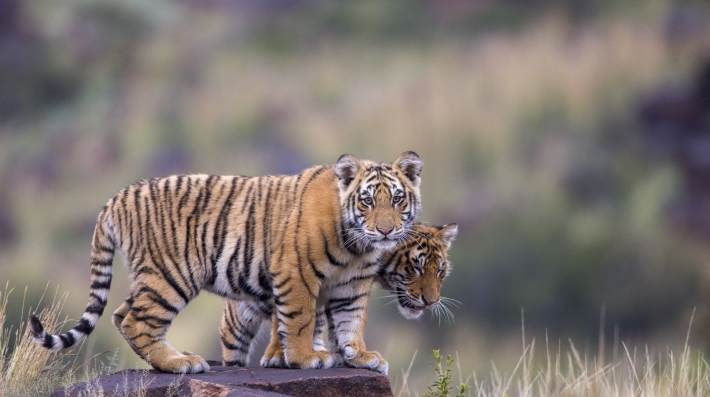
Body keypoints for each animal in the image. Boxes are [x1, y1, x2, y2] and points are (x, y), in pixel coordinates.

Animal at [29, 150, 422, 372]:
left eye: (397, 200)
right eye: (368, 201)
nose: (386, 230)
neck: (357, 247)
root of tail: (118, 196)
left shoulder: (351, 285)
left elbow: (350, 322)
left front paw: (360, 357)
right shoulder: (295, 273)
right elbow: (299, 321)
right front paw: (306, 358)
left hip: (150, 275)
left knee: (121, 313)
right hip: (170, 275)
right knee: (135, 320)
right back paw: (180, 363)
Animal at [220, 221, 462, 370]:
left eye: (440, 271)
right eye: (416, 268)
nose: (432, 302)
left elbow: (342, 322)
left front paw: (349, 356)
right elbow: (286, 319)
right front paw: (279, 354)